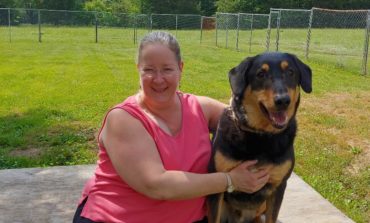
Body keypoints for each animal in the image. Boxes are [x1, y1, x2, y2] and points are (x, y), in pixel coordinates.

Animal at [208, 51, 312, 222]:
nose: (283, 100)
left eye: (290, 72)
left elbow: (272, 218)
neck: (261, 136)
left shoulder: (279, 186)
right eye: (261, 74)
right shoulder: (216, 186)